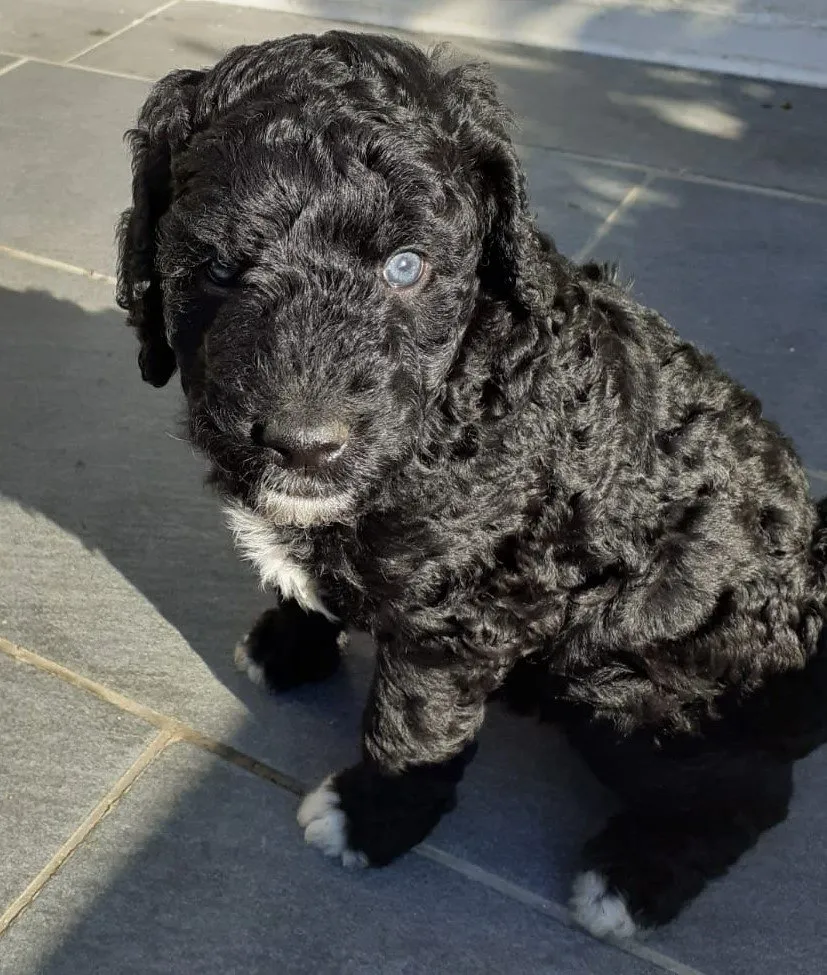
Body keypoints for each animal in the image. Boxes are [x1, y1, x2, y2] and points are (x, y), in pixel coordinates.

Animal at [117, 31, 827, 937]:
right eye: (214, 265)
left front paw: (371, 820)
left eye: (405, 268)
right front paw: (288, 639)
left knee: (747, 790)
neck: (454, 397)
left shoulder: (461, 619)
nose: (302, 445)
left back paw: (633, 879)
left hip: (627, 680)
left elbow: (412, 728)